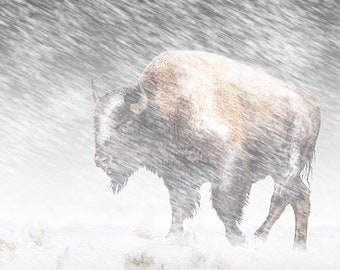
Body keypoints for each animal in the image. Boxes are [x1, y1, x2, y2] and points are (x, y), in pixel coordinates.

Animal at [91, 50, 320, 249]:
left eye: (127, 123)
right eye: (96, 124)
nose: (101, 160)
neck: (170, 108)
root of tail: (312, 106)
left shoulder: (228, 172)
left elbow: (224, 206)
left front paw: (237, 239)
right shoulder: (177, 175)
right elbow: (179, 204)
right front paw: (171, 237)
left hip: (286, 166)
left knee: (281, 198)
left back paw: (258, 238)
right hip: (281, 170)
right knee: (301, 197)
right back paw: (299, 248)